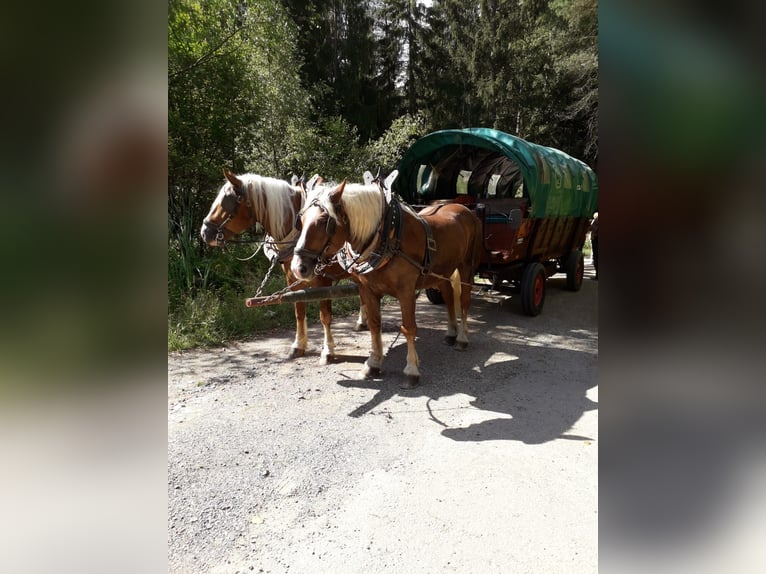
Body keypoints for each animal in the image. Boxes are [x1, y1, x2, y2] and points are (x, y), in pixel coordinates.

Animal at [198, 169, 366, 364]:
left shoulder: (323, 282)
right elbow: (298, 311)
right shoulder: (292, 278)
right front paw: (298, 346)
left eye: (228, 201)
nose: (205, 233)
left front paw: (328, 351)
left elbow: (325, 317)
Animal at [292, 178, 484, 390]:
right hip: (442, 271)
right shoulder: (368, 290)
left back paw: (462, 338)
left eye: (324, 221)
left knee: (464, 301)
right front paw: (373, 364)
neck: (387, 237)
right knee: (449, 297)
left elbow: (408, 328)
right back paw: (451, 333)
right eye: (301, 221)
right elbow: (375, 324)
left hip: (466, 266)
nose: (298, 268)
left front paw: (411, 370)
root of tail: (464, 210)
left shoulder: (406, 291)